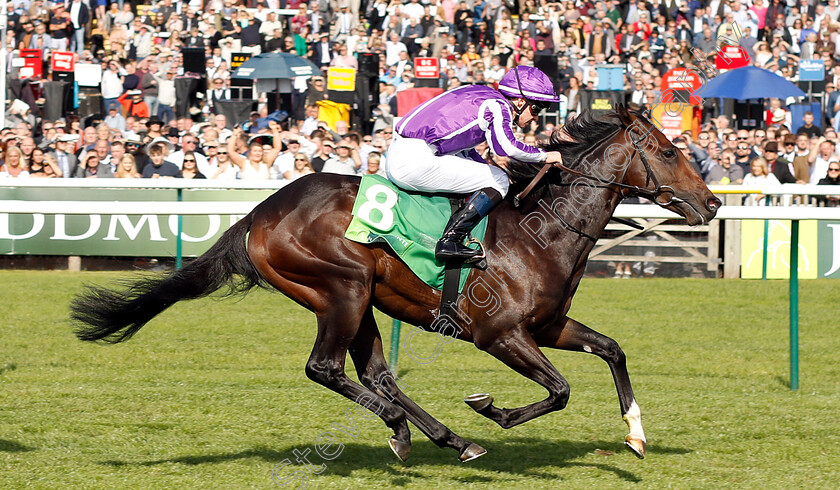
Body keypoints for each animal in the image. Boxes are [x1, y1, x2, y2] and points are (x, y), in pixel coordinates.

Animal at [70, 105, 720, 466]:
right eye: (667, 150)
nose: (712, 203)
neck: (541, 229)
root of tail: (261, 212)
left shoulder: (548, 325)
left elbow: (612, 349)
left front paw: (636, 435)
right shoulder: (500, 334)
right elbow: (559, 390)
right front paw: (492, 409)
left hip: (359, 300)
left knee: (377, 374)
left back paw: (438, 436)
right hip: (342, 287)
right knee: (327, 368)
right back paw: (412, 428)